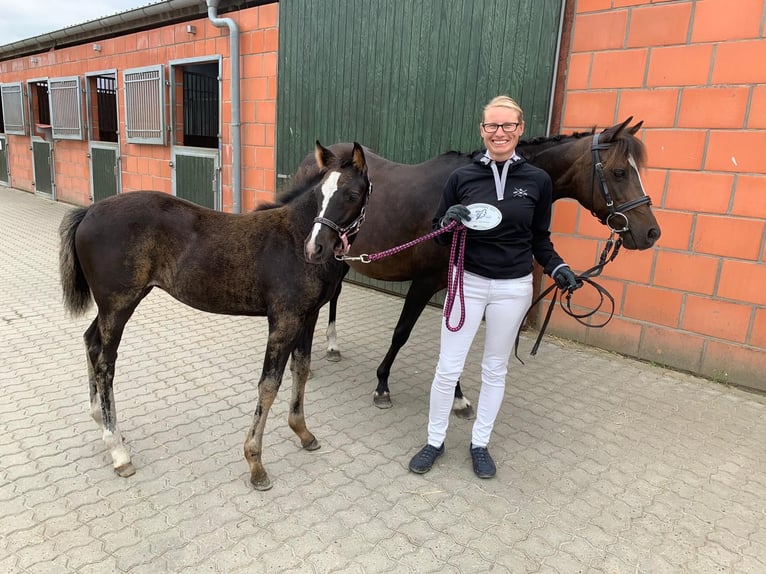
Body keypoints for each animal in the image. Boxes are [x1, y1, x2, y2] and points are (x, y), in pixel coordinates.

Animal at [60, 143, 372, 490]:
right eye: (320, 194)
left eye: (352, 194)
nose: (314, 248)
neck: (293, 237)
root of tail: (88, 211)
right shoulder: (284, 319)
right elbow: (269, 384)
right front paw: (255, 464)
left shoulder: (308, 316)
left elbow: (300, 370)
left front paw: (303, 432)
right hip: (118, 305)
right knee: (105, 362)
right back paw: (118, 450)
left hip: (117, 304)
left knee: (90, 342)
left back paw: (102, 422)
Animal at [294, 118, 660, 414]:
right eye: (620, 172)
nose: (650, 233)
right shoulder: (425, 282)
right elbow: (402, 333)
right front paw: (382, 386)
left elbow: (455, 342)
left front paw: (457, 398)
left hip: (340, 256)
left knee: (335, 295)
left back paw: (332, 345)